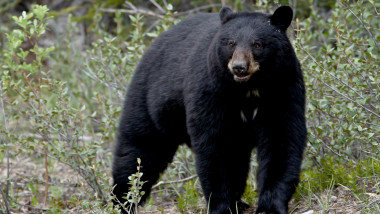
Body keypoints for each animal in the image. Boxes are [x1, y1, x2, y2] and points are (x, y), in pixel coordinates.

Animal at [112, 5, 306, 214]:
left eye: (257, 44)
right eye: (230, 43)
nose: (239, 67)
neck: (248, 89)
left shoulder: (282, 87)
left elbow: (281, 138)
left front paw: (270, 206)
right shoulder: (211, 90)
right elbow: (217, 145)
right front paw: (223, 207)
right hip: (149, 101)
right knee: (138, 151)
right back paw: (122, 202)